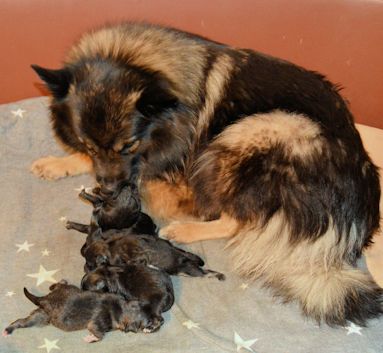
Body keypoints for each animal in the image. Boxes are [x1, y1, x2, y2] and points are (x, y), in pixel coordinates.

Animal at [3, 278, 154, 340]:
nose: (159, 322)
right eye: (148, 323)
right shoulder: (99, 322)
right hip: (42, 317)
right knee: (23, 322)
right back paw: (8, 330)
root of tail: (44, 299)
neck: (120, 307)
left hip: (54, 301)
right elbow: (97, 332)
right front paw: (92, 338)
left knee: (58, 285)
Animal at [31, 21, 382, 324]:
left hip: (262, 127)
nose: (106, 189)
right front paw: (59, 163)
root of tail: (350, 225)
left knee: (236, 220)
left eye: (129, 145)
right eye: (89, 146)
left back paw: (184, 228)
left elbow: (147, 173)